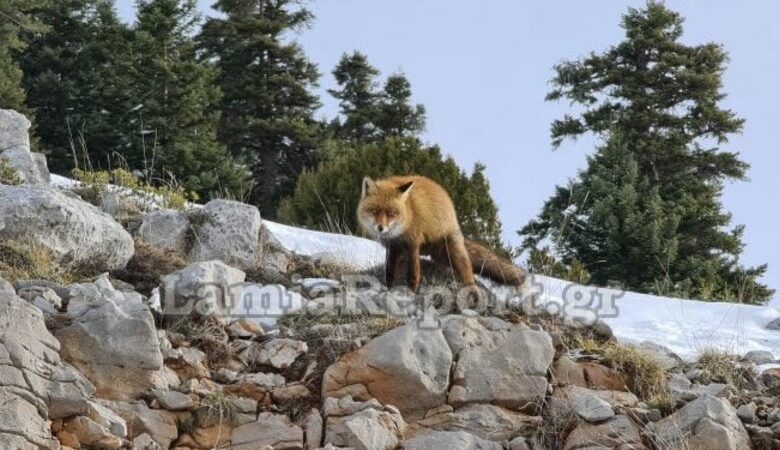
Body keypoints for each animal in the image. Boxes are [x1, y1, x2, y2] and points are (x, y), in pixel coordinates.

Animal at [358, 172, 528, 292]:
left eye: (392, 213)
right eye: (374, 211)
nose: (380, 227)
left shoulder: (413, 243)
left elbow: (413, 274)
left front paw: (411, 292)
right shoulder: (393, 246)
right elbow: (389, 272)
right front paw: (388, 288)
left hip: (453, 252)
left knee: (469, 274)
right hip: (440, 256)